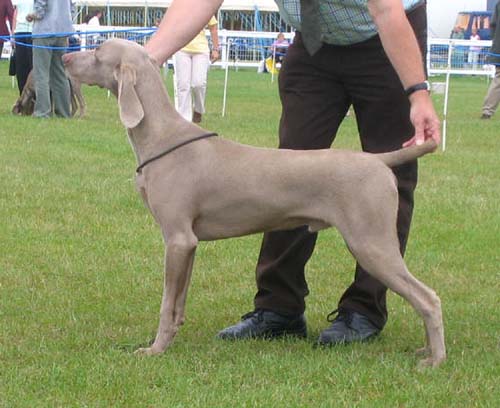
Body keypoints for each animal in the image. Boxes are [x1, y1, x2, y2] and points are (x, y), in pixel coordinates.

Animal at [62, 39, 446, 368]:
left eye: (97, 53)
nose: (64, 57)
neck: (162, 137)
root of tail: (379, 160)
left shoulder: (176, 238)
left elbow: (165, 303)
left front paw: (155, 349)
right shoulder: (189, 243)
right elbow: (178, 300)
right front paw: (172, 336)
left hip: (371, 242)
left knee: (428, 298)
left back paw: (435, 359)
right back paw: (426, 349)